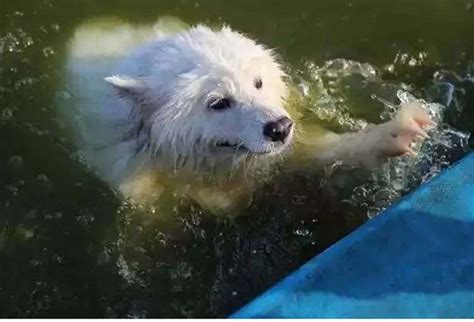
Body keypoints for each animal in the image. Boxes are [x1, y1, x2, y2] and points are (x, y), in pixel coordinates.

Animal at [62, 22, 434, 209]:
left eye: (258, 82)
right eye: (218, 102)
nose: (280, 127)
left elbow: (311, 150)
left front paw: (403, 130)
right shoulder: (136, 176)